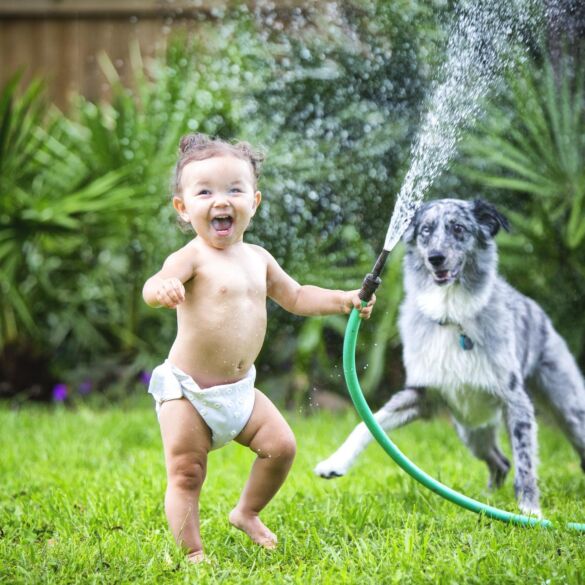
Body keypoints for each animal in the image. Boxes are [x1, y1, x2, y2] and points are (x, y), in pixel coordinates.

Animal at [314, 197, 584, 516]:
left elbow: (525, 462)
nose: (436, 258)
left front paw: (530, 511)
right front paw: (334, 463)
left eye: (458, 228)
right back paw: (488, 499)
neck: (451, 314)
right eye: (425, 231)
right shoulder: (422, 394)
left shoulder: (516, 401)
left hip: (569, 410)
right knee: (500, 461)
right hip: (470, 428)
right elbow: (368, 423)